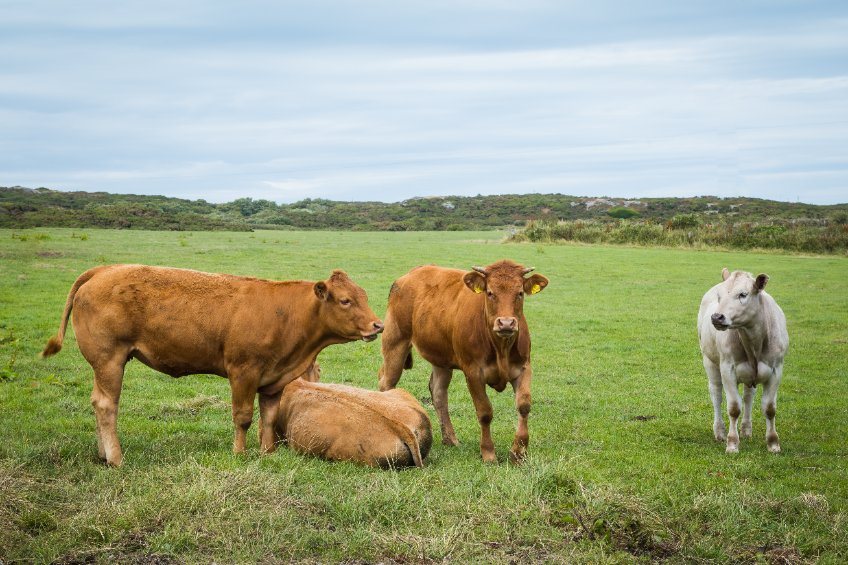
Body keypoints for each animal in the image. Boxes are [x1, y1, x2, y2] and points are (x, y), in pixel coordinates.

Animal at [41, 264, 382, 468]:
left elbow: (269, 418)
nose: (377, 326)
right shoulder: (243, 372)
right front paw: (239, 453)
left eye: (363, 296)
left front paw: (268, 453)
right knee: (106, 405)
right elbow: (243, 417)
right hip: (109, 360)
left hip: (103, 365)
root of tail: (104, 269)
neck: (287, 314)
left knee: (97, 402)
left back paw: (102, 454)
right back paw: (115, 458)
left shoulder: (274, 380)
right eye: (345, 301)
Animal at [376, 260, 548, 462]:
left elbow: (523, 406)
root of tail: (413, 272)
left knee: (438, 393)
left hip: (441, 359)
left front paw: (518, 453)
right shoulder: (473, 372)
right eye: (490, 292)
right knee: (387, 383)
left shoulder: (523, 368)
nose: (506, 323)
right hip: (395, 342)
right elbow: (484, 412)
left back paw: (450, 439)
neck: (501, 349)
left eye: (520, 293)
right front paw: (488, 453)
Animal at [696, 266, 788, 452]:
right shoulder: (727, 368)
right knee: (716, 394)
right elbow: (733, 407)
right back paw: (720, 432)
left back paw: (746, 429)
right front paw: (732, 443)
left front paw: (773, 443)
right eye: (719, 296)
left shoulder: (776, 369)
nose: (717, 317)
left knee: (748, 396)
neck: (753, 342)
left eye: (743, 294)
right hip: (709, 361)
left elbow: (769, 408)